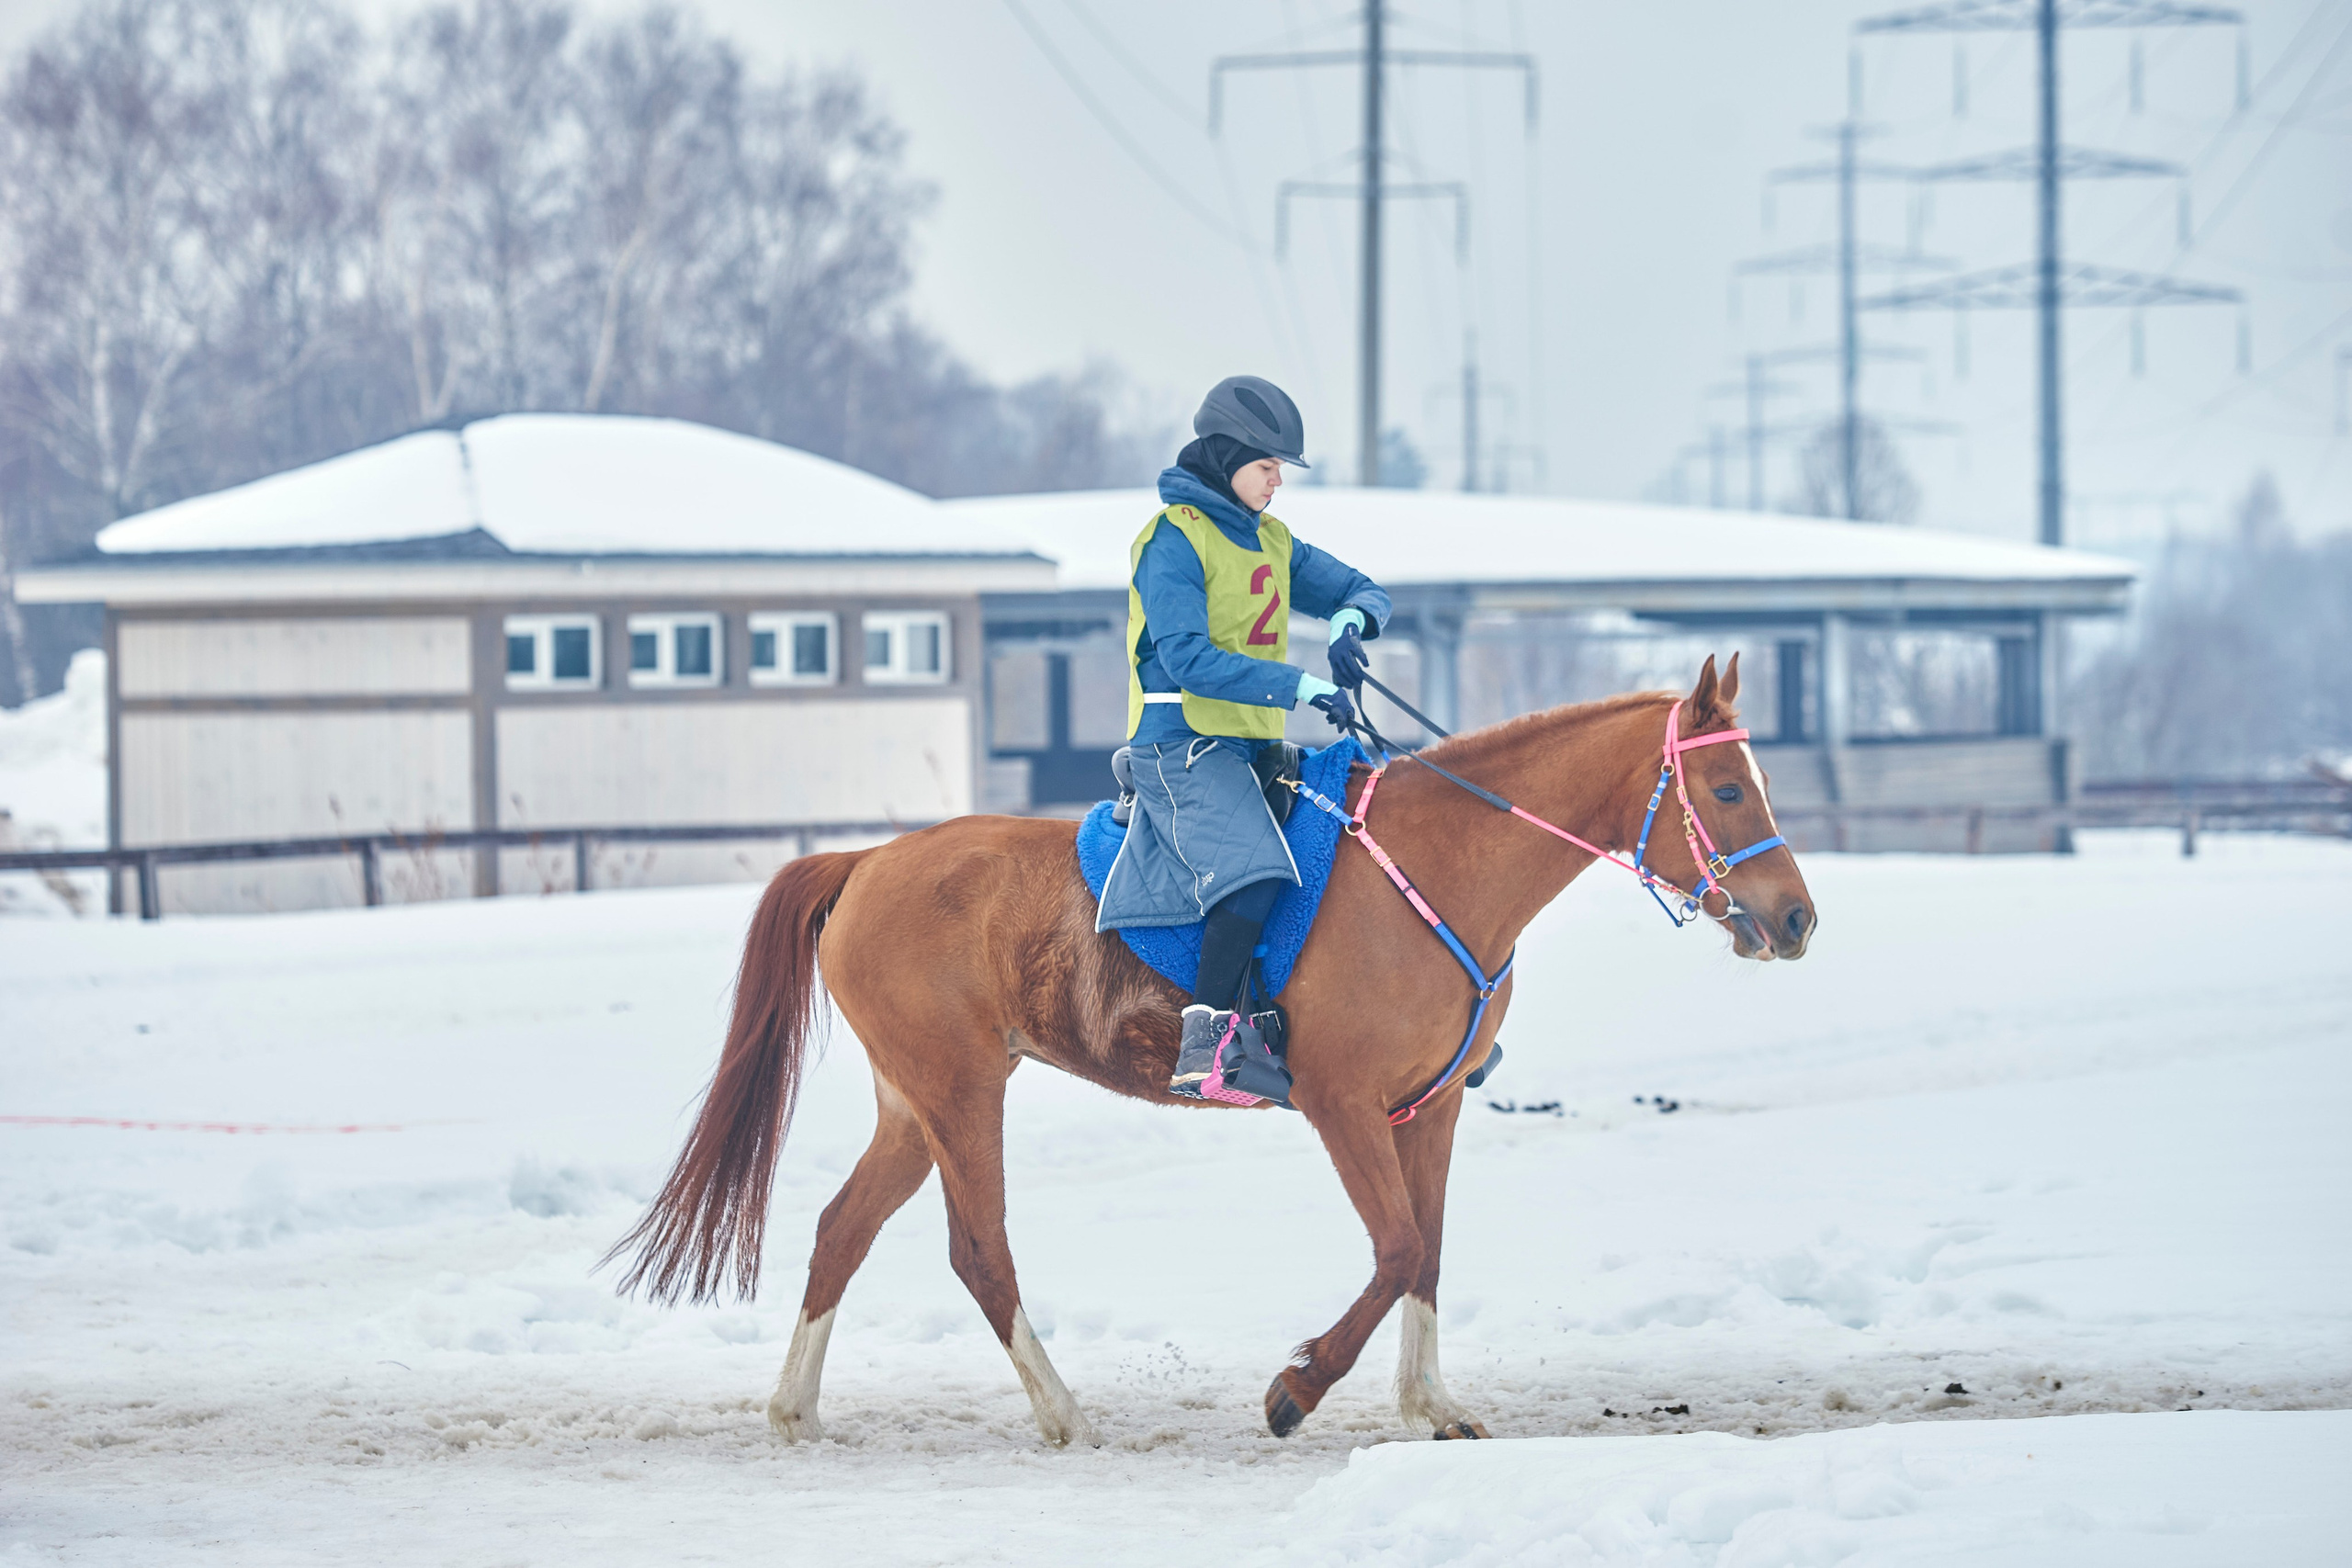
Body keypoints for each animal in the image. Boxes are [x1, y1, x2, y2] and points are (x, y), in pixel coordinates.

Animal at [607, 654, 1817, 1447]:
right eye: (1724, 787)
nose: (1797, 917)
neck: (1439, 866)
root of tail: (866, 862)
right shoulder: (1341, 1103)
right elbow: (1391, 1252)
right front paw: (1297, 1391)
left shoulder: (1429, 1109)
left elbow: (1425, 1251)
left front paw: (1429, 1403)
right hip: (957, 1091)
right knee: (978, 1251)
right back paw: (1062, 1411)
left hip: (913, 1104)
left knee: (839, 1234)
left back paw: (795, 1408)